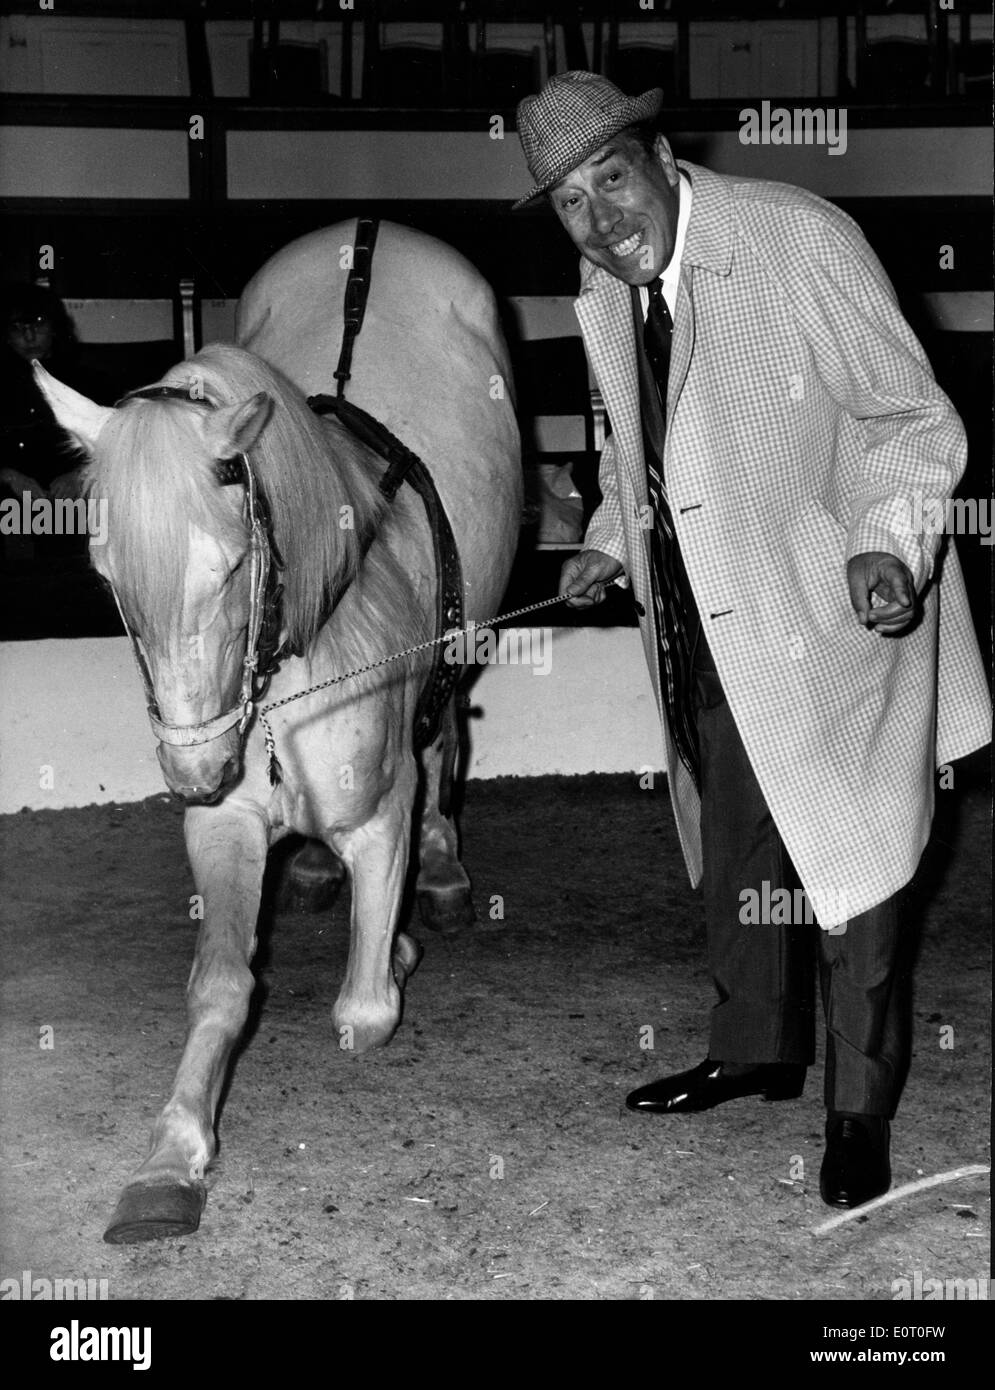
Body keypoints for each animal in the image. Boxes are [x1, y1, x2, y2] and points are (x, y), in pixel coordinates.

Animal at [35, 222, 525, 1245]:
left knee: (446, 741)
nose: (194, 771)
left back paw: (441, 871)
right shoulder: (223, 824)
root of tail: (373, 230)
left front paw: (399, 943)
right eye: (107, 571)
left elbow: (365, 1009)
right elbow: (222, 984)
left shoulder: (378, 816)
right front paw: (169, 1157)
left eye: (229, 566)